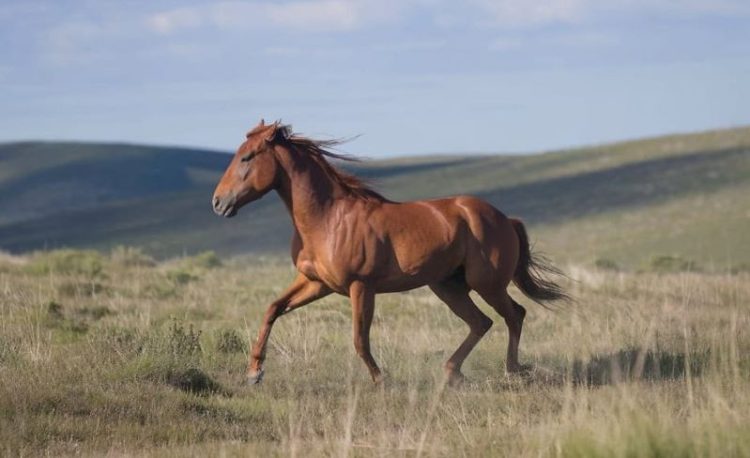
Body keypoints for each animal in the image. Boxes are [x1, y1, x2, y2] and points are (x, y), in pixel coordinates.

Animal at [212, 119, 568, 386]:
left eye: (247, 157)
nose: (218, 202)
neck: (327, 219)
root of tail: (505, 218)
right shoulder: (317, 283)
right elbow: (272, 309)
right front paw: (254, 372)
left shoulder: (361, 286)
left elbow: (360, 338)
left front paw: (381, 380)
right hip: (448, 287)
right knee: (482, 323)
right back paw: (452, 373)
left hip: (487, 284)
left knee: (514, 315)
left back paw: (512, 371)